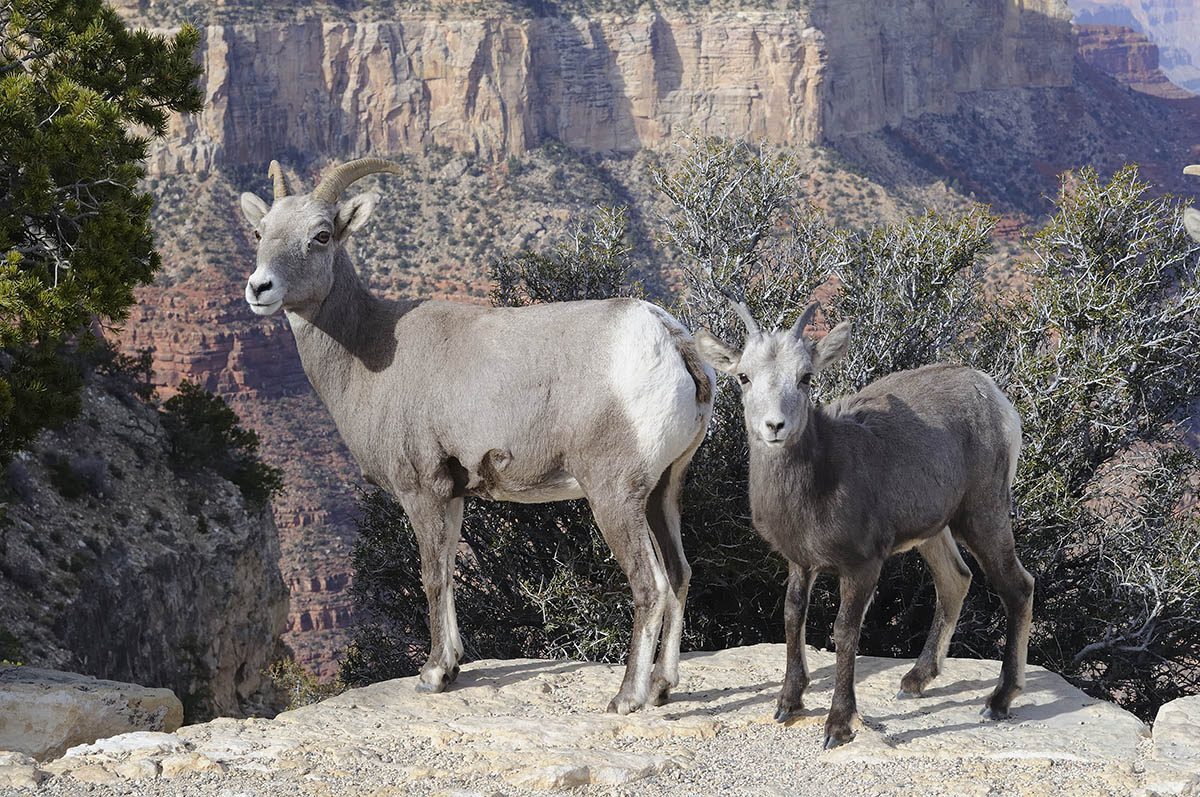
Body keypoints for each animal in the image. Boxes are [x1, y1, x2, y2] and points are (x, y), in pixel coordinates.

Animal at [237, 159, 716, 713]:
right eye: (260, 232)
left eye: (321, 235)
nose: (260, 288)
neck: (370, 350)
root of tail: (670, 339)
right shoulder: (454, 494)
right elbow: (448, 571)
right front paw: (452, 666)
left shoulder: (421, 491)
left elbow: (431, 575)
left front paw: (432, 674)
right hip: (664, 491)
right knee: (680, 575)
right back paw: (661, 689)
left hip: (614, 496)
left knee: (650, 585)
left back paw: (627, 698)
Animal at [694, 297, 1033, 749]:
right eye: (744, 377)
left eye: (805, 377)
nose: (775, 426)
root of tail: (992, 394)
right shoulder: (800, 561)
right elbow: (792, 615)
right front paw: (788, 704)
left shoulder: (862, 565)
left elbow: (844, 631)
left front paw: (838, 727)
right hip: (933, 531)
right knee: (955, 580)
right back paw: (914, 681)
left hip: (983, 515)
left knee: (1017, 587)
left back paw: (998, 701)